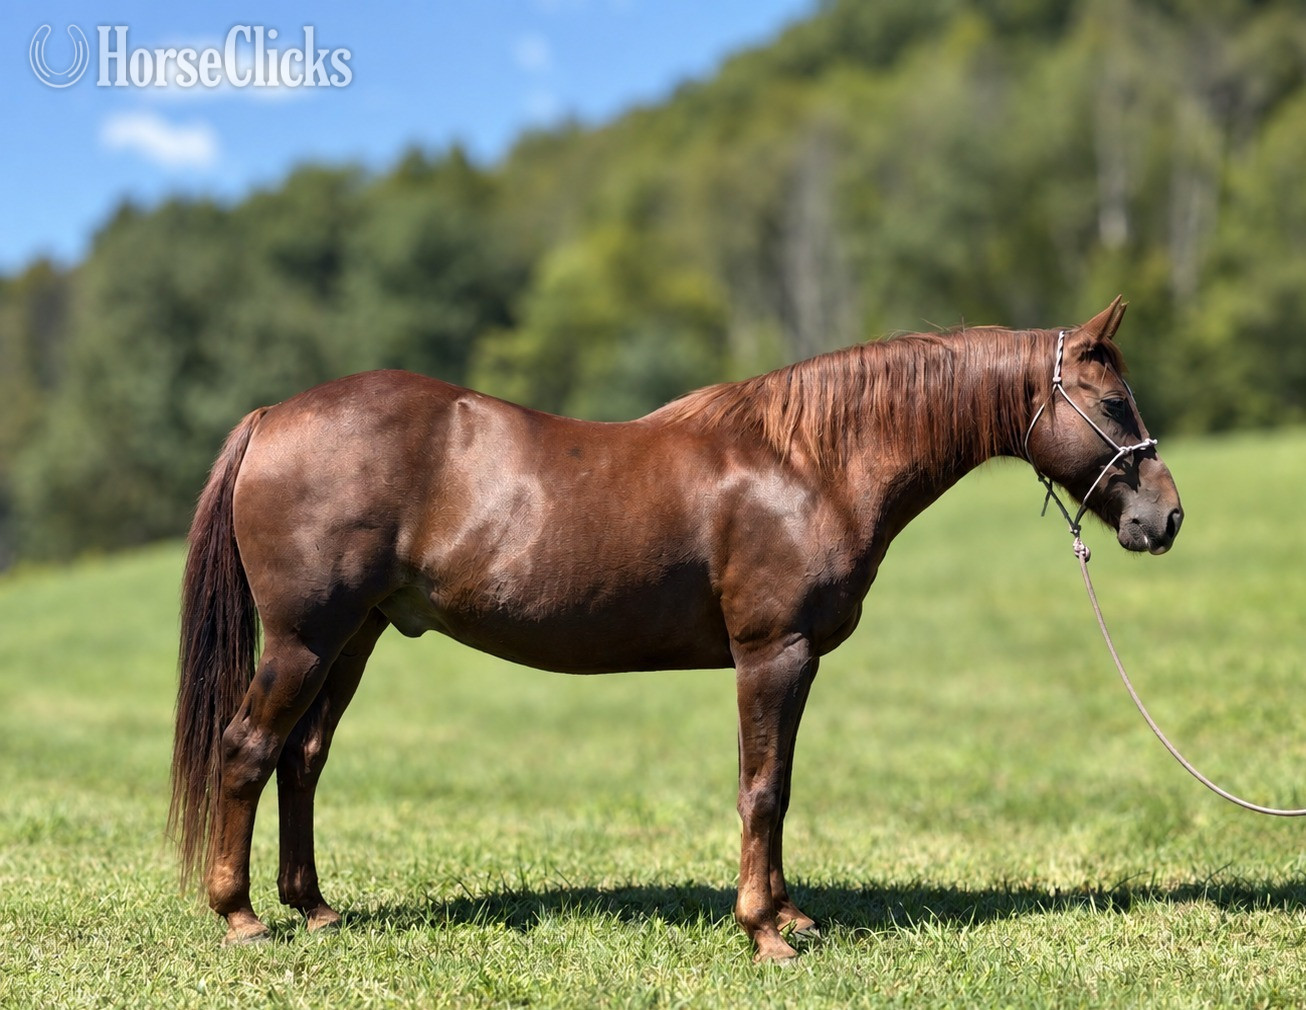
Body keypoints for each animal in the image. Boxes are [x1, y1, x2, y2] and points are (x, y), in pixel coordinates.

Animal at [170, 296, 1182, 961]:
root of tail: (273, 417)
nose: (1164, 518)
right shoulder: (772, 655)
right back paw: (241, 916)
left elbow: (777, 787)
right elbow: (762, 791)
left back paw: (314, 908)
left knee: (302, 760)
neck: (807, 462)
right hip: (304, 641)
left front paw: (790, 913)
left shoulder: (787, 663)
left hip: (357, 636)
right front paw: (765, 933)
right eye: (1114, 404)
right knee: (247, 750)